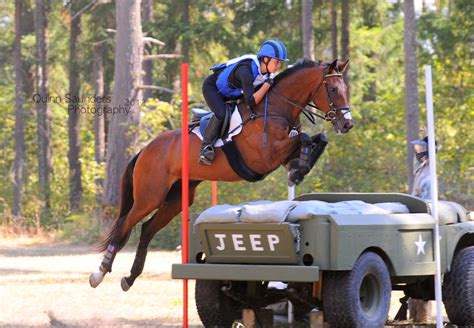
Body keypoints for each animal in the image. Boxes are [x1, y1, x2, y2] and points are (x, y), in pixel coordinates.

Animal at [89, 57, 352, 290]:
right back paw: (99, 273)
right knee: (123, 226)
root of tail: (146, 149)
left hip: (176, 198)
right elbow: (305, 137)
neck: (276, 109)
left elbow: (317, 138)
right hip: (149, 196)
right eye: (332, 88)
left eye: (346, 89)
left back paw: (130, 277)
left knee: (146, 229)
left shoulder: (283, 153)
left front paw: (301, 168)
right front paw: (301, 168)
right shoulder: (266, 156)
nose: (347, 124)